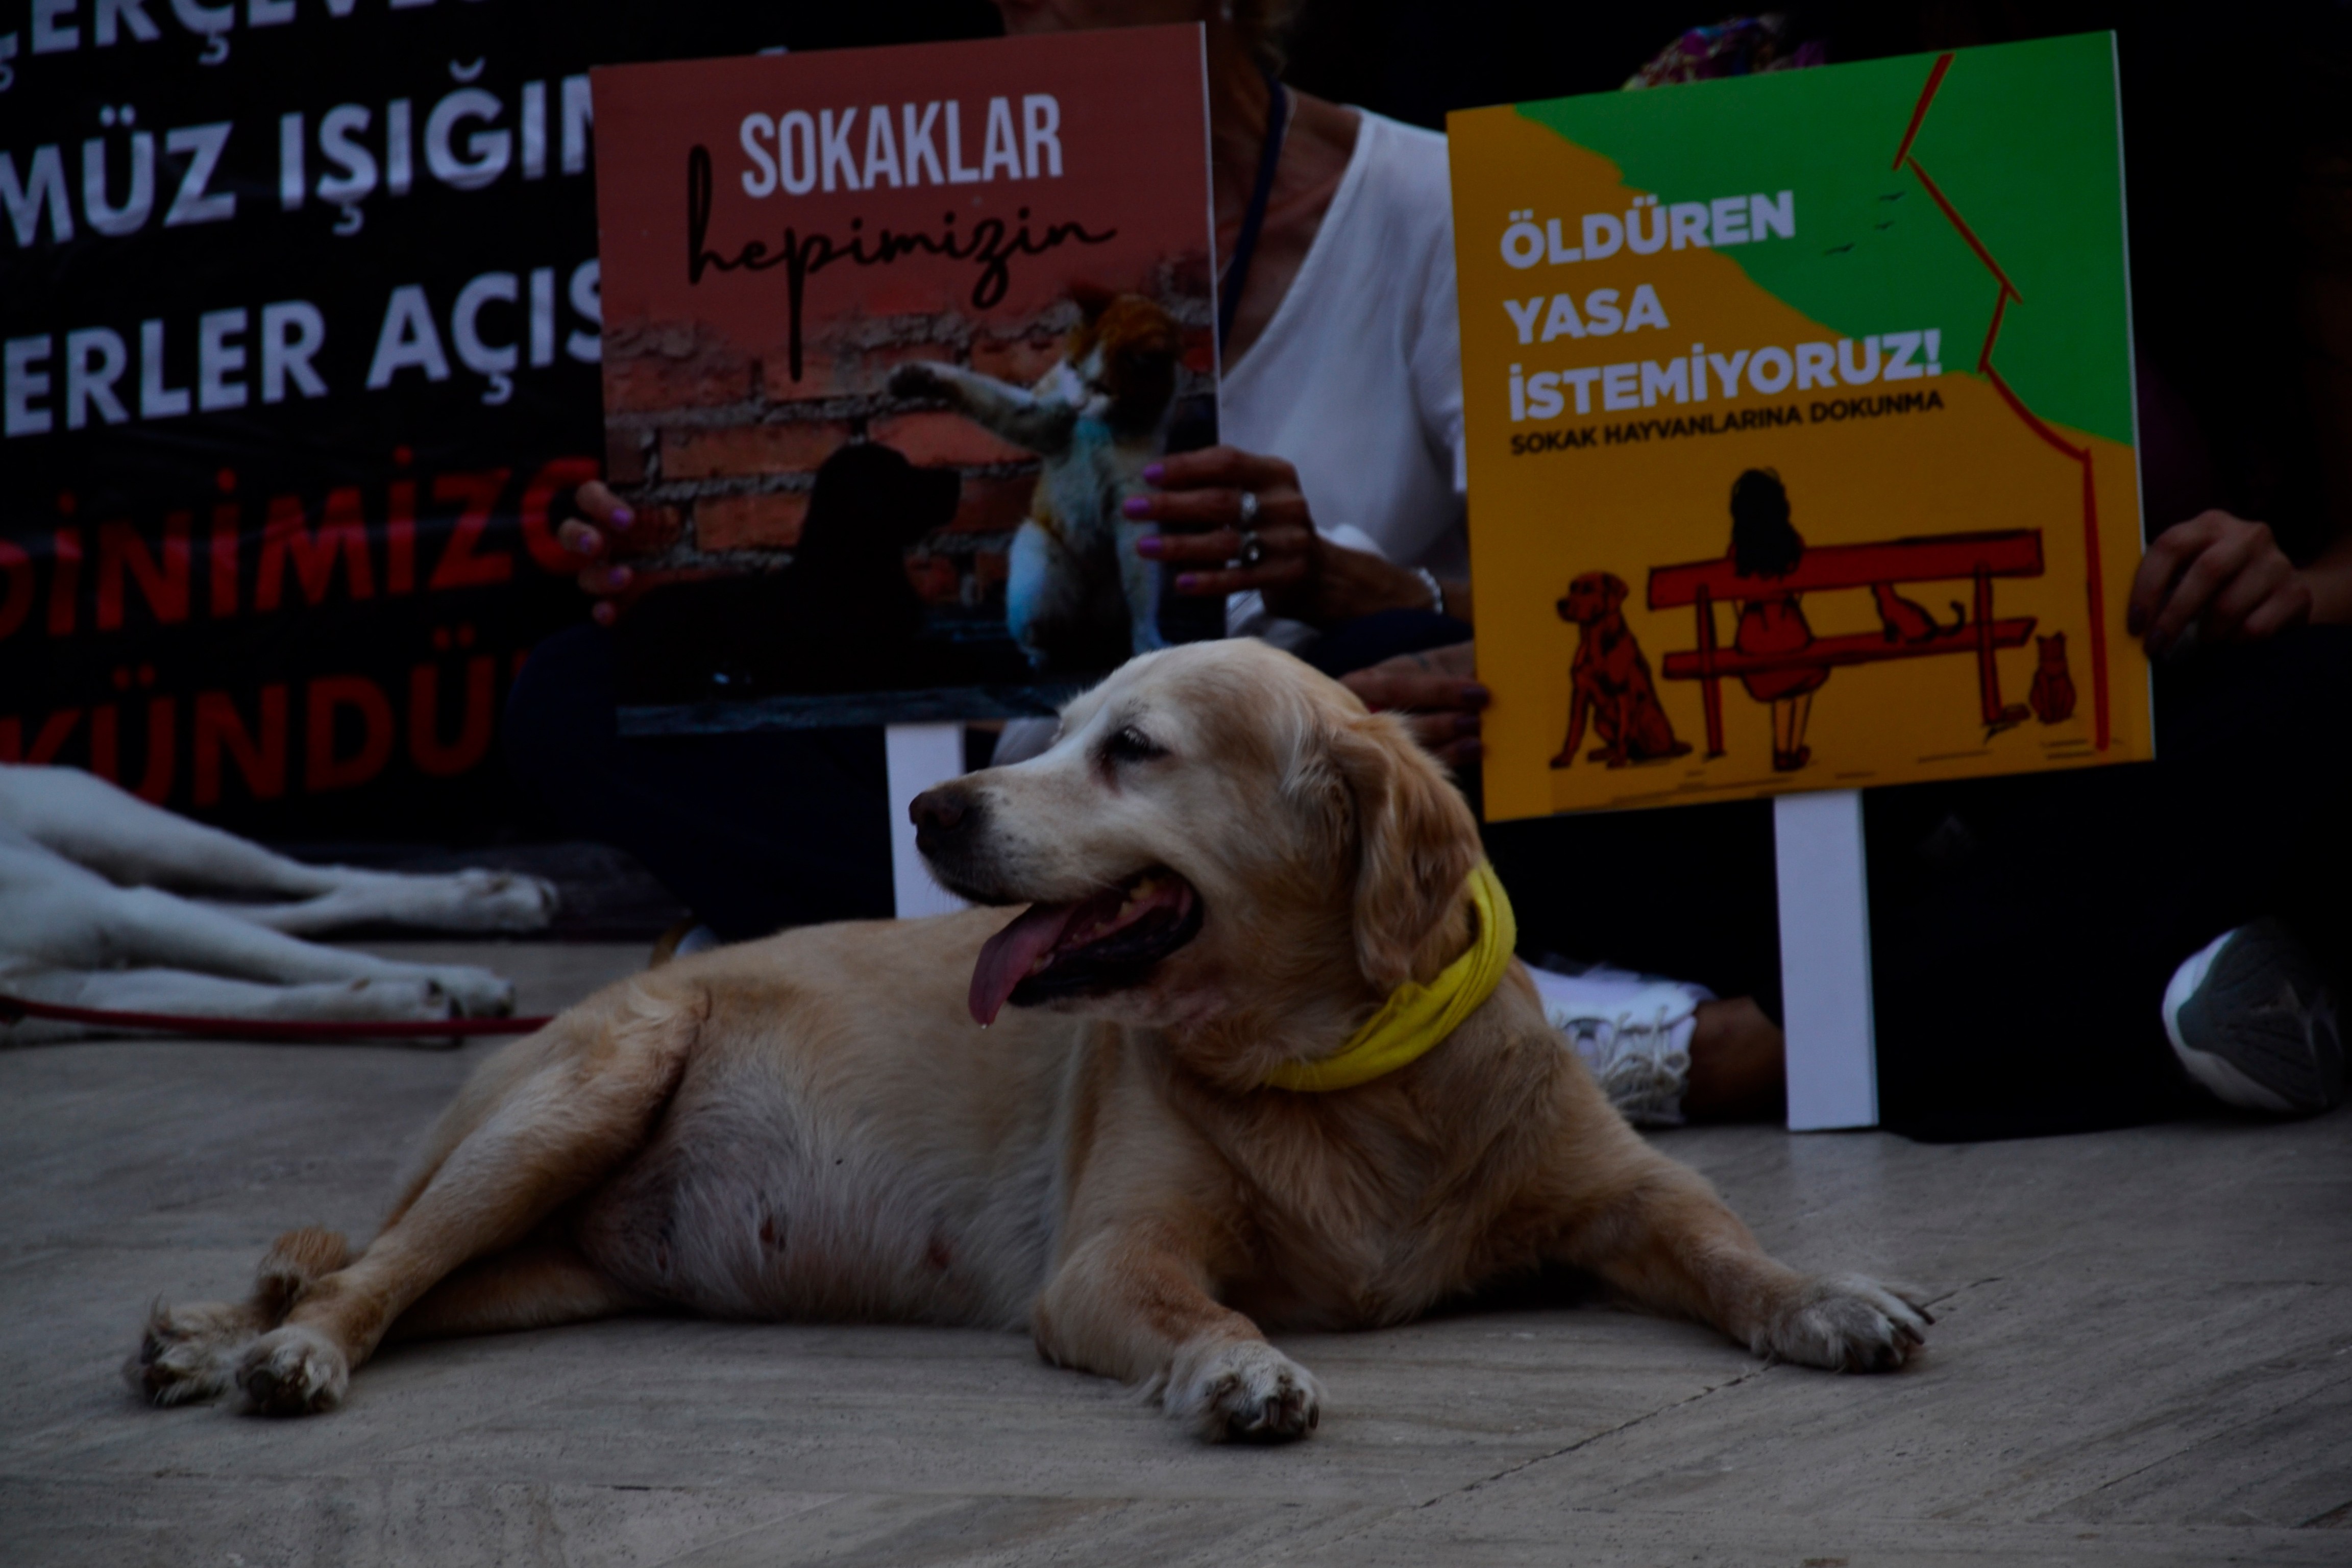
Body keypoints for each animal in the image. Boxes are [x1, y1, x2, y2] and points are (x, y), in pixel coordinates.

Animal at [0, 762, 559, 1043]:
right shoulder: (79, 994)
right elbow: (242, 1002)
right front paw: (390, 1005)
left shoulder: (124, 915)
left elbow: (306, 961)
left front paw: (464, 982)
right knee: (302, 909)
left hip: (142, 838)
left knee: (317, 877)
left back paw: (495, 900)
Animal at [133, 639, 1928, 1438]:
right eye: (1048, 729)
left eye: (1134, 748)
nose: (932, 807)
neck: (1341, 1075)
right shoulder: (1111, 1259)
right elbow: (1196, 1301)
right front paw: (1237, 1367)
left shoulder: (1625, 1195)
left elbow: (1729, 1241)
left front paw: (1832, 1297)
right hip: (575, 1096)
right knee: (362, 1273)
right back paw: (255, 1349)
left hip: (557, 1259)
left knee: (405, 1282)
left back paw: (226, 1337)